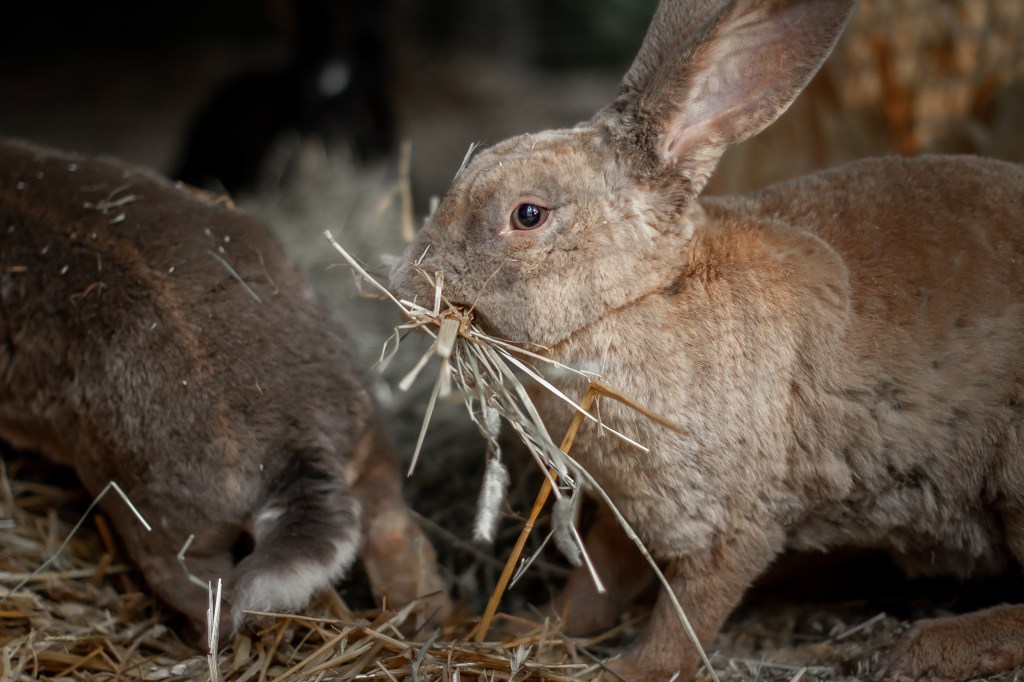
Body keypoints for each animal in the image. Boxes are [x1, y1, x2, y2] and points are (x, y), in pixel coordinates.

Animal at [0, 137, 449, 640]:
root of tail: (298, 444)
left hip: (161, 523)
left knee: (210, 596)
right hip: (368, 442)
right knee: (398, 536)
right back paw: (433, 621)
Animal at [389, 0, 1024, 679]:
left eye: (527, 214)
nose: (407, 280)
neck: (647, 295)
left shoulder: (734, 525)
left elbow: (687, 617)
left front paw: (627, 669)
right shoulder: (627, 516)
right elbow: (593, 587)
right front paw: (527, 628)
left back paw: (920, 647)